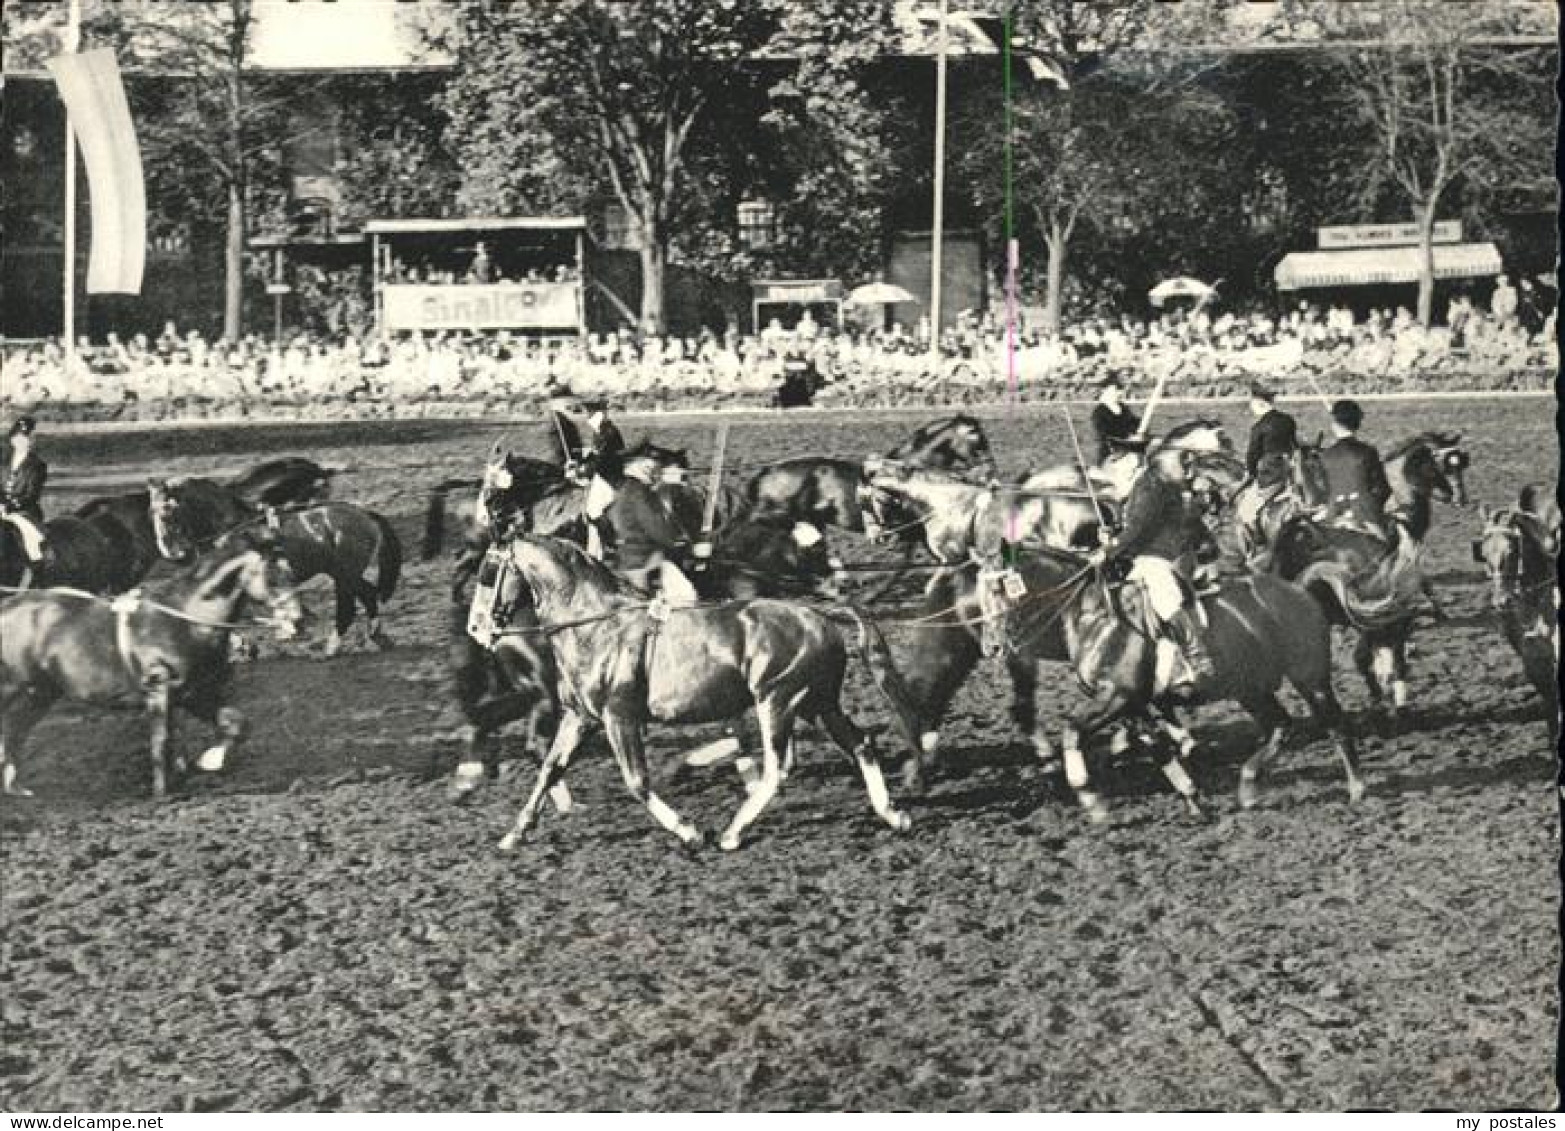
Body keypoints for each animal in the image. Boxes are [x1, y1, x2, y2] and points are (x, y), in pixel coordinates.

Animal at [0, 534, 302, 800]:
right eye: (272, 574)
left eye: (291, 570)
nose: (298, 617)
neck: (185, 619)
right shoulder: (159, 690)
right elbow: (161, 742)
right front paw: (161, 792)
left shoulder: (193, 694)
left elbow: (235, 723)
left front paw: (207, 762)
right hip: (13, 689)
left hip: (39, 694)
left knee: (15, 731)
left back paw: (15, 788)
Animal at [154, 478, 403, 653]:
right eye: (152, 513)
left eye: (166, 513)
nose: (170, 552)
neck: (232, 528)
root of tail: (365, 515)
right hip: (344, 574)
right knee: (367, 595)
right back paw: (373, 635)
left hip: (344, 574)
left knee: (353, 604)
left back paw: (333, 646)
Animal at [494, 534, 920, 850]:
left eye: (491, 568)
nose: (486, 624)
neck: (597, 626)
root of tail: (819, 615)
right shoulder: (581, 717)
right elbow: (550, 769)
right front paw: (515, 833)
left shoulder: (619, 717)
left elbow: (636, 781)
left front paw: (689, 831)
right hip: (817, 703)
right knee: (861, 744)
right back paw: (893, 814)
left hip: (778, 700)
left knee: (779, 767)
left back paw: (732, 832)